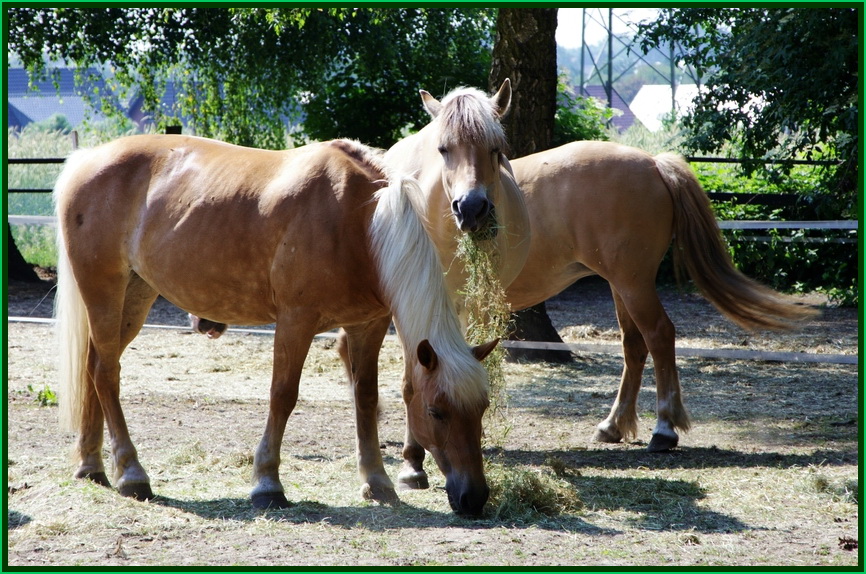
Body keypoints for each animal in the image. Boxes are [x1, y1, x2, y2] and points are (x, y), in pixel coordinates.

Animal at [54, 136, 496, 516]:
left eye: (482, 408)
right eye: (437, 411)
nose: (474, 498)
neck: (359, 220)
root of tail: (86, 159)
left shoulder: (367, 325)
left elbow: (366, 399)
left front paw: (378, 482)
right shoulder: (295, 321)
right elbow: (283, 395)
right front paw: (267, 484)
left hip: (135, 295)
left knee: (93, 368)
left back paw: (92, 466)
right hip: (105, 292)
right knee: (106, 373)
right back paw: (132, 474)